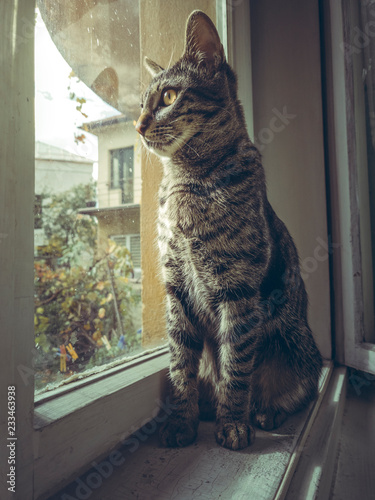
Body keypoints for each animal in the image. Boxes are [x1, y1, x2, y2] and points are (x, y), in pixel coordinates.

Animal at [135, 9, 324, 452]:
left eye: (168, 97)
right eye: (141, 102)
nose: (137, 124)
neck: (187, 183)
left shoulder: (239, 291)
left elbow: (236, 365)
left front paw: (233, 423)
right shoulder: (176, 288)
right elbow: (181, 364)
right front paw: (184, 420)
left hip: (297, 348)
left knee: (299, 391)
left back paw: (264, 412)